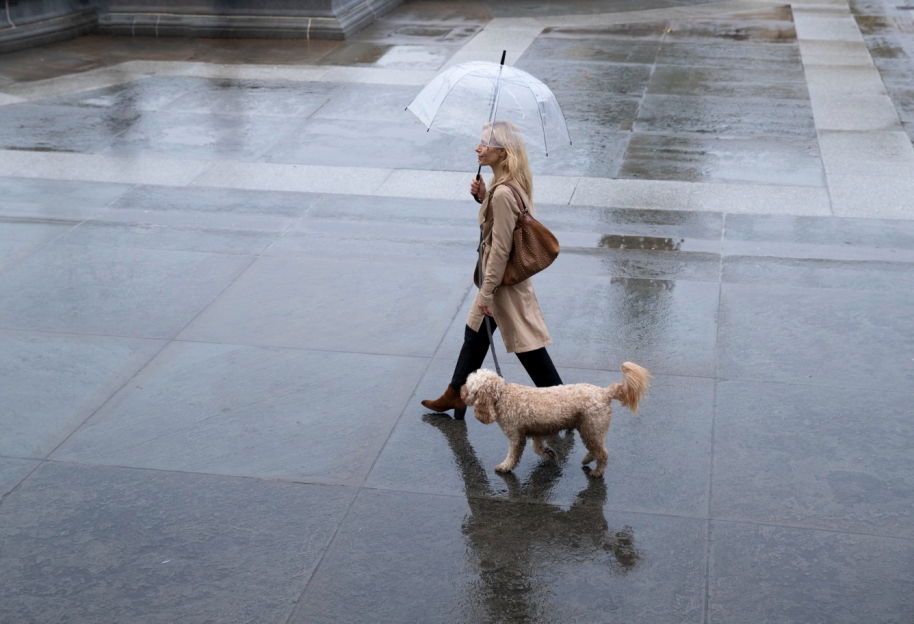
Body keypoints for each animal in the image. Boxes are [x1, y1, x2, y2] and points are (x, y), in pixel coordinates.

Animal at [464, 360, 648, 478]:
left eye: (469, 386)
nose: (460, 391)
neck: (502, 396)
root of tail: (605, 393)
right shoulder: (536, 431)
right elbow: (537, 448)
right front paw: (549, 453)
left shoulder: (516, 437)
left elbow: (513, 455)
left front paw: (505, 467)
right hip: (590, 429)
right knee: (596, 449)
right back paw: (588, 459)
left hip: (591, 427)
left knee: (602, 453)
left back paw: (597, 472)